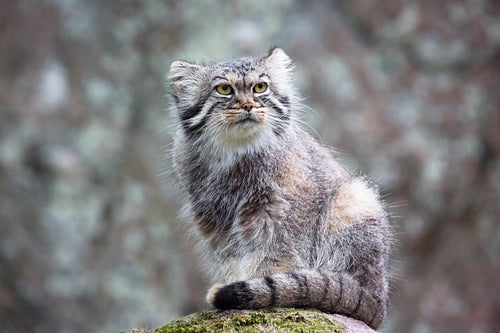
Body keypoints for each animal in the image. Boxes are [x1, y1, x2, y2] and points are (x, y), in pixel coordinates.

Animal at [168, 48, 390, 328]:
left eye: (260, 87)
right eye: (224, 89)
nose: (249, 105)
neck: (234, 155)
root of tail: (378, 301)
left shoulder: (280, 214)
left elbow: (273, 255)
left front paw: (257, 284)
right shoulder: (213, 218)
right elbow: (231, 256)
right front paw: (236, 281)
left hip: (352, 199)